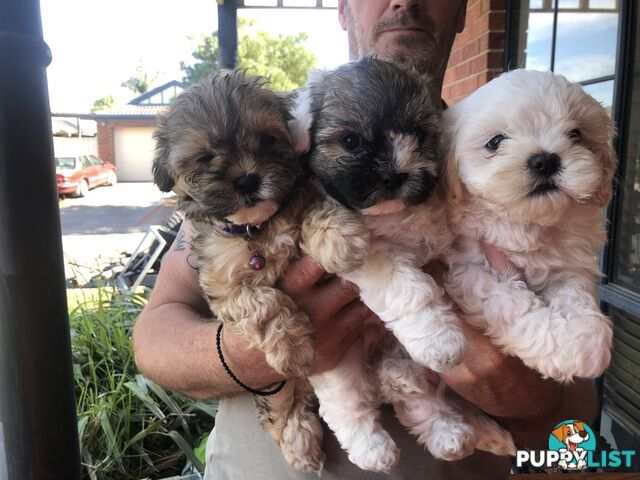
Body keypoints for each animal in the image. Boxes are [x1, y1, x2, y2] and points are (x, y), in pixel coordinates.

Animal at [442, 68, 616, 382]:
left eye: (575, 134)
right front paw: (559, 349)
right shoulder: (468, 265)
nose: (545, 161)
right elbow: (512, 304)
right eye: (495, 142)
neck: (526, 222)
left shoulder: (566, 265)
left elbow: (577, 295)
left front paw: (586, 343)